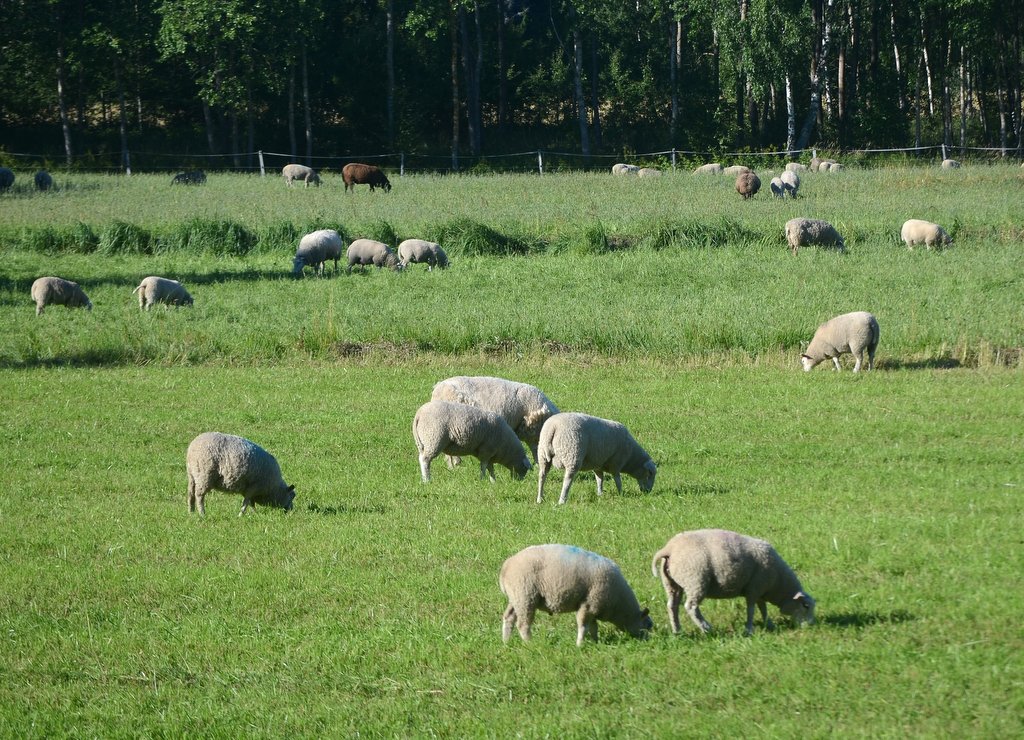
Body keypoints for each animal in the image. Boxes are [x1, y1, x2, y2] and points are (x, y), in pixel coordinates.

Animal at [497, 544, 655, 646]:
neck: (619, 605)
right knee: (523, 624)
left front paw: (596, 642)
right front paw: (580, 644)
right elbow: (583, 625)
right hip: (526, 596)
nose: (648, 642)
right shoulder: (589, 604)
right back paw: (531, 644)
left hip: (517, 597)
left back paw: (506, 642)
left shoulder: (594, 607)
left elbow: (593, 627)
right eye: (647, 625)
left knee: (509, 617)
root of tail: (506, 567)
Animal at [655, 528, 815, 638]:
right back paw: (706, 628)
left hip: (672, 584)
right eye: (806, 606)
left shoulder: (759, 590)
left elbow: (762, 608)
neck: (778, 583)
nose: (810, 626)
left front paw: (768, 624)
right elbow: (751, 610)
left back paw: (677, 630)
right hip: (696, 580)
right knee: (691, 607)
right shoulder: (754, 589)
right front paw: (749, 629)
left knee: (672, 606)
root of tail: (669, 548)